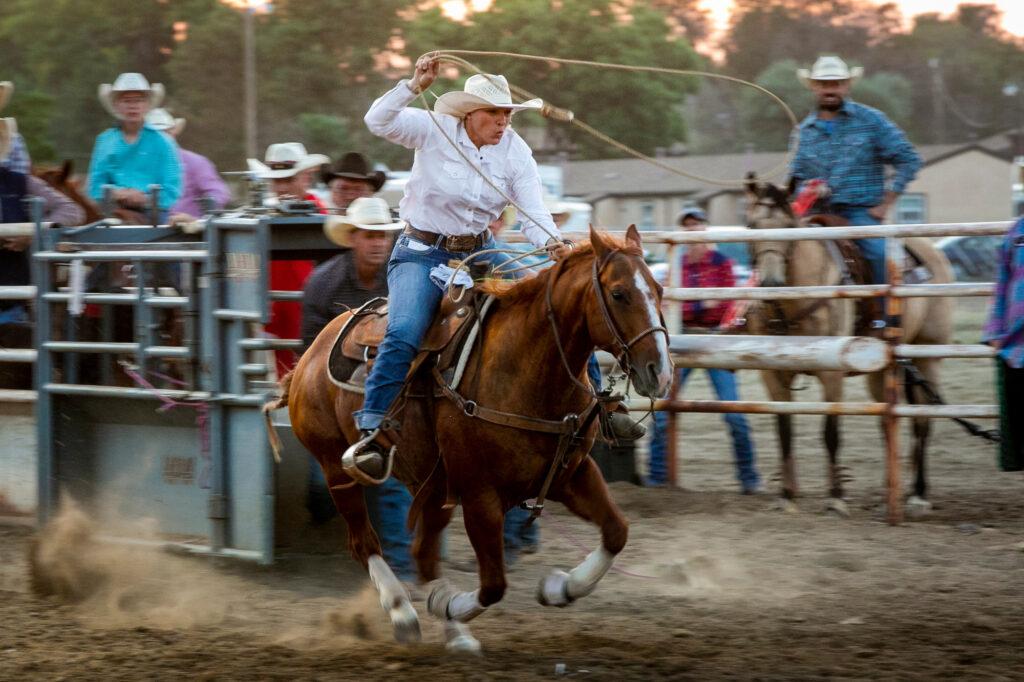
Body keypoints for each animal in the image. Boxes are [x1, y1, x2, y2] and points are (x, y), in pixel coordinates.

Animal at [268, 225, 675, 651]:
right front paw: (448, 605)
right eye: (619, 293)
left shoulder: (572, 475)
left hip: (433, 488)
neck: (526, 369)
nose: (660, 373)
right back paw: (402, 611)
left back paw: (452, 630)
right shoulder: (481, 498)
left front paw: (558, 588)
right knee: (365, 544)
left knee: (422, 553)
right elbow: (494, 584)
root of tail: (311, 354)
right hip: (337, 470)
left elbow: (616, 532)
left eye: (658, 289)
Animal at [745, 178, 950, 512]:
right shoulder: (772, 373)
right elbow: (784, 428)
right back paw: (887, 493)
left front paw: (836, 497)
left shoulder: (832, 373)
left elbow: (830, 431)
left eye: (788, 225)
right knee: (888, 423)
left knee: (922, 420)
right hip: (883, 371)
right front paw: (786, 496)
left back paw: (918, 494)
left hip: (927, 355)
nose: (770, 282)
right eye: (751, 225)